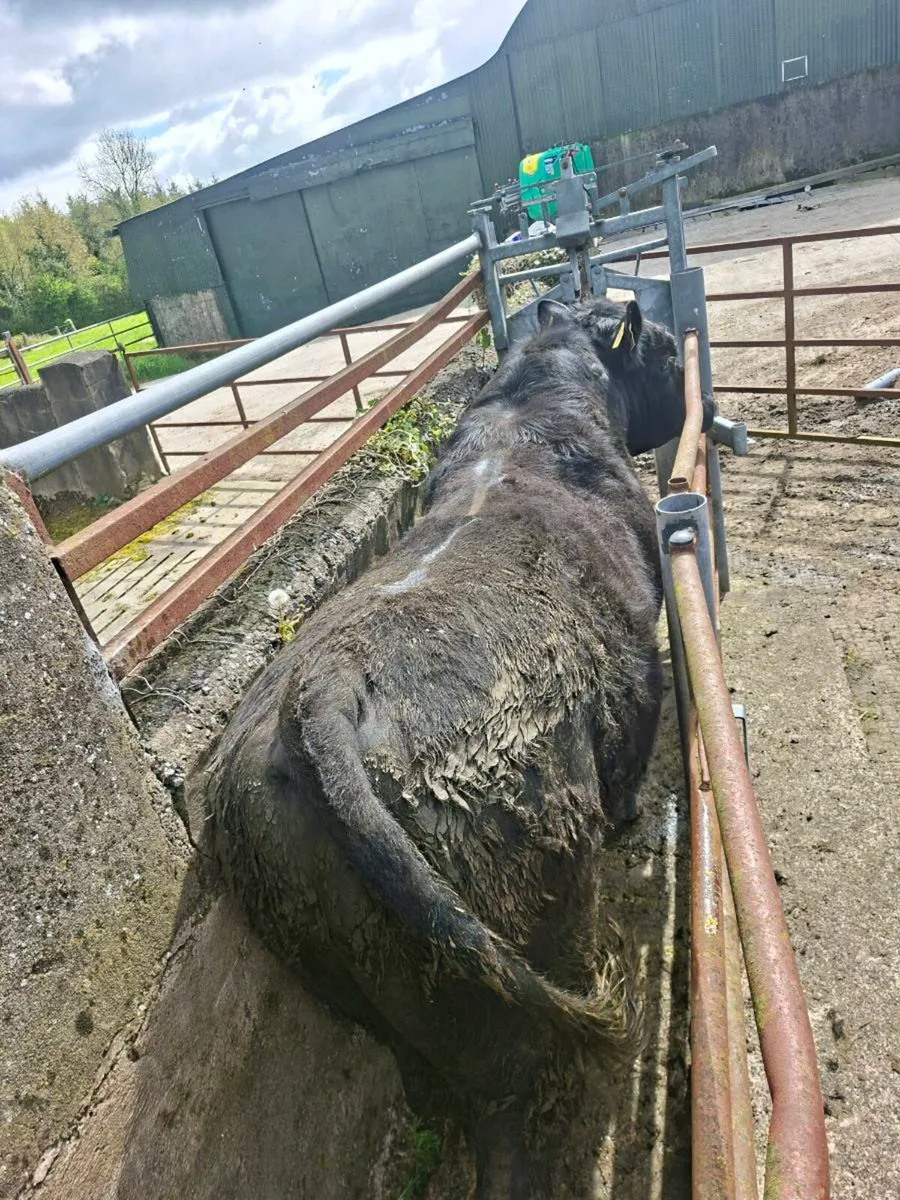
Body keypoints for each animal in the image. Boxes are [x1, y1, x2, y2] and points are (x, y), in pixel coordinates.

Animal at [205, 296, 714, 1197]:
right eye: (655, 346)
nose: (685, 363)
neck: (529, 411)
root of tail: (322, 695)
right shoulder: (644, 665)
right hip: (526, 926)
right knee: (515, 1116)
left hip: (370, 990)